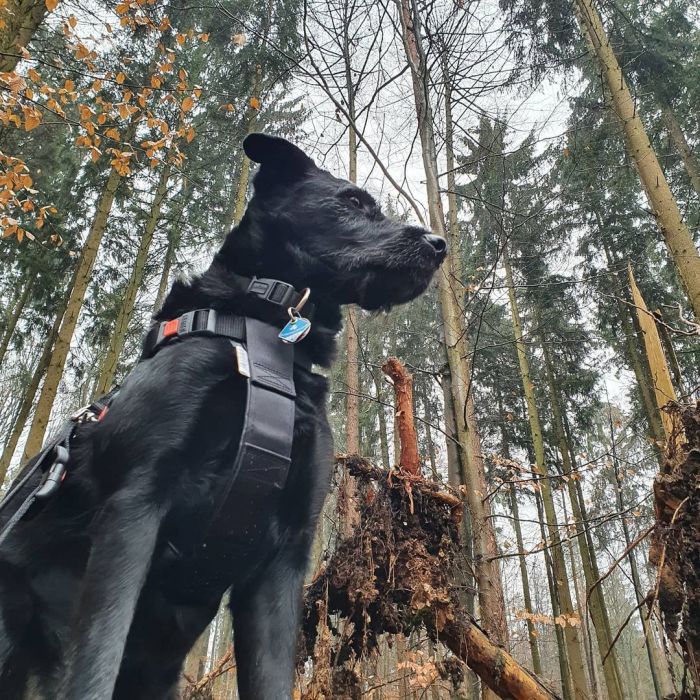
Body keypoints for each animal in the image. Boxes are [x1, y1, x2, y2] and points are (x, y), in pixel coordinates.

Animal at [0, 134, 446, 696]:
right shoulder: (134, 506)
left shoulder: (286, 555)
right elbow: (95, 665)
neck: (266, 335)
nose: (439, 244)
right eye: (350, 202)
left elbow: (272, 676)